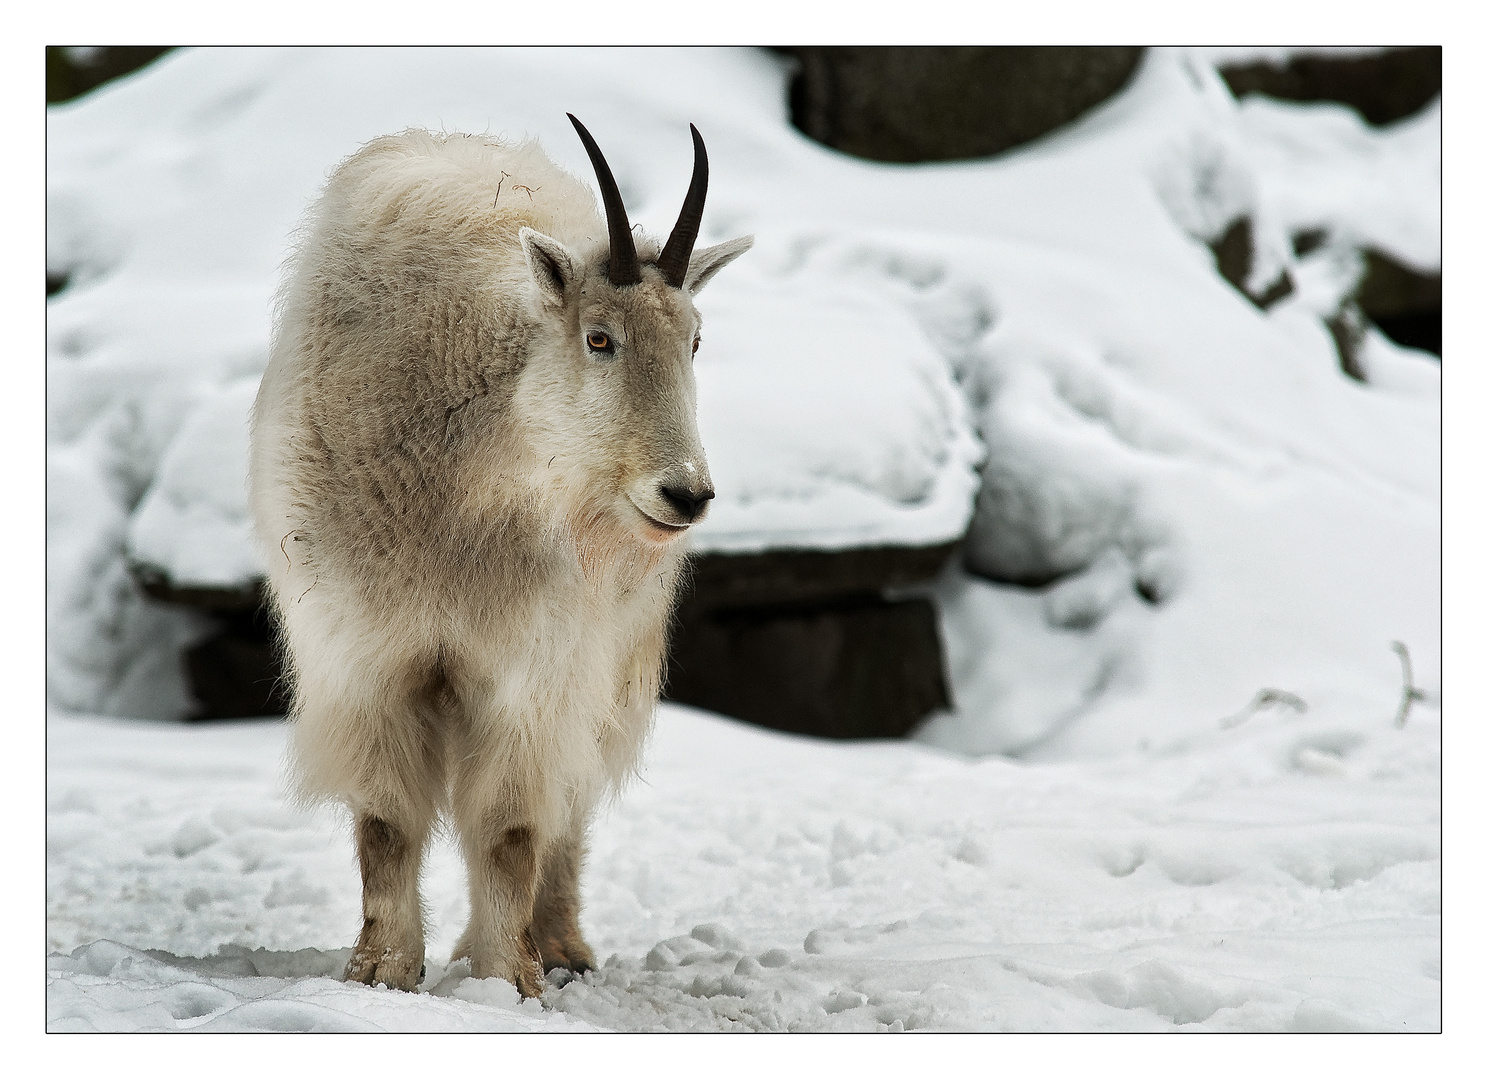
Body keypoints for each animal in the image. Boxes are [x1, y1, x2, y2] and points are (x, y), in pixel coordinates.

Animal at [251, 116, 755, 999]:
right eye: (600, 338)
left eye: (694, 340)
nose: (686, 494)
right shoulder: (368, 654)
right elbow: (387, 821)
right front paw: (381, 971)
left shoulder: (538, 666)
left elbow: (514, 828)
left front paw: (508, 979)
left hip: (605, 659)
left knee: (568, 806)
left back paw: (559, 949)